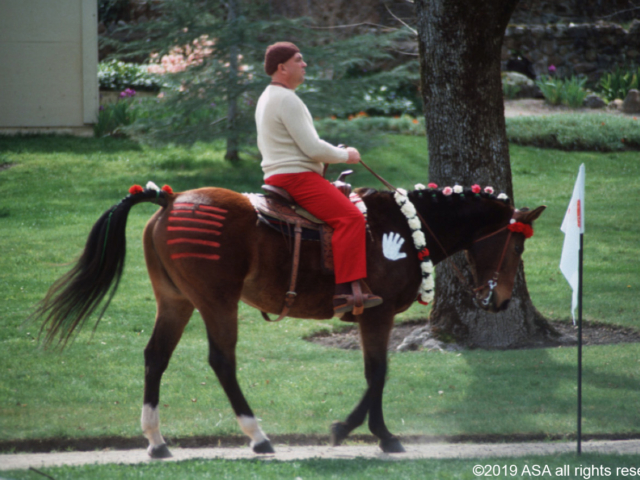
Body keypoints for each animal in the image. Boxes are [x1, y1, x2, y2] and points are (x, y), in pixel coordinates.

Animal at [33, 178, 544, 456]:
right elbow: (378, 373)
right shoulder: (375, 314)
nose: (499, 299)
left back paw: (157, 441)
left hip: (176, 301)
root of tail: (169, 201)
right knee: (222, 361)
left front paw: (375, 433)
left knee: (155, 357)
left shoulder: (370, 319)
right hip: (216, 301)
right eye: (517, 245)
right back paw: (257, 435)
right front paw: (362, 431)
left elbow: (374, 372)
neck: (401, 228)